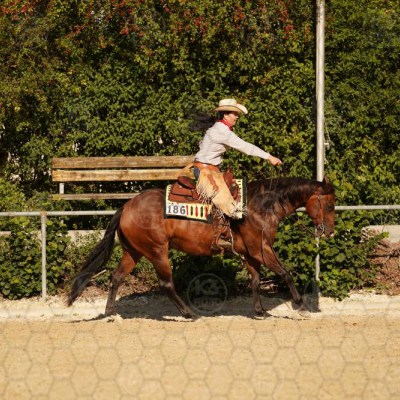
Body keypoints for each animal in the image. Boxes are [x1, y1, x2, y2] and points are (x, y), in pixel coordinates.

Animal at [68, 176, 335, 318]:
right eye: (330, 205)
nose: (329, 231)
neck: (259, 206)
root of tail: (126, 206)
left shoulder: (251, 255)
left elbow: (256, 280)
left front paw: (260, 310)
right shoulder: (261, 250)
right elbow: (285, 273)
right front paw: (300, 304)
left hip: (133, 252)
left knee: (115, 276)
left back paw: (110, 311)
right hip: (157, 251)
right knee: (166, 284)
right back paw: (188, 313)